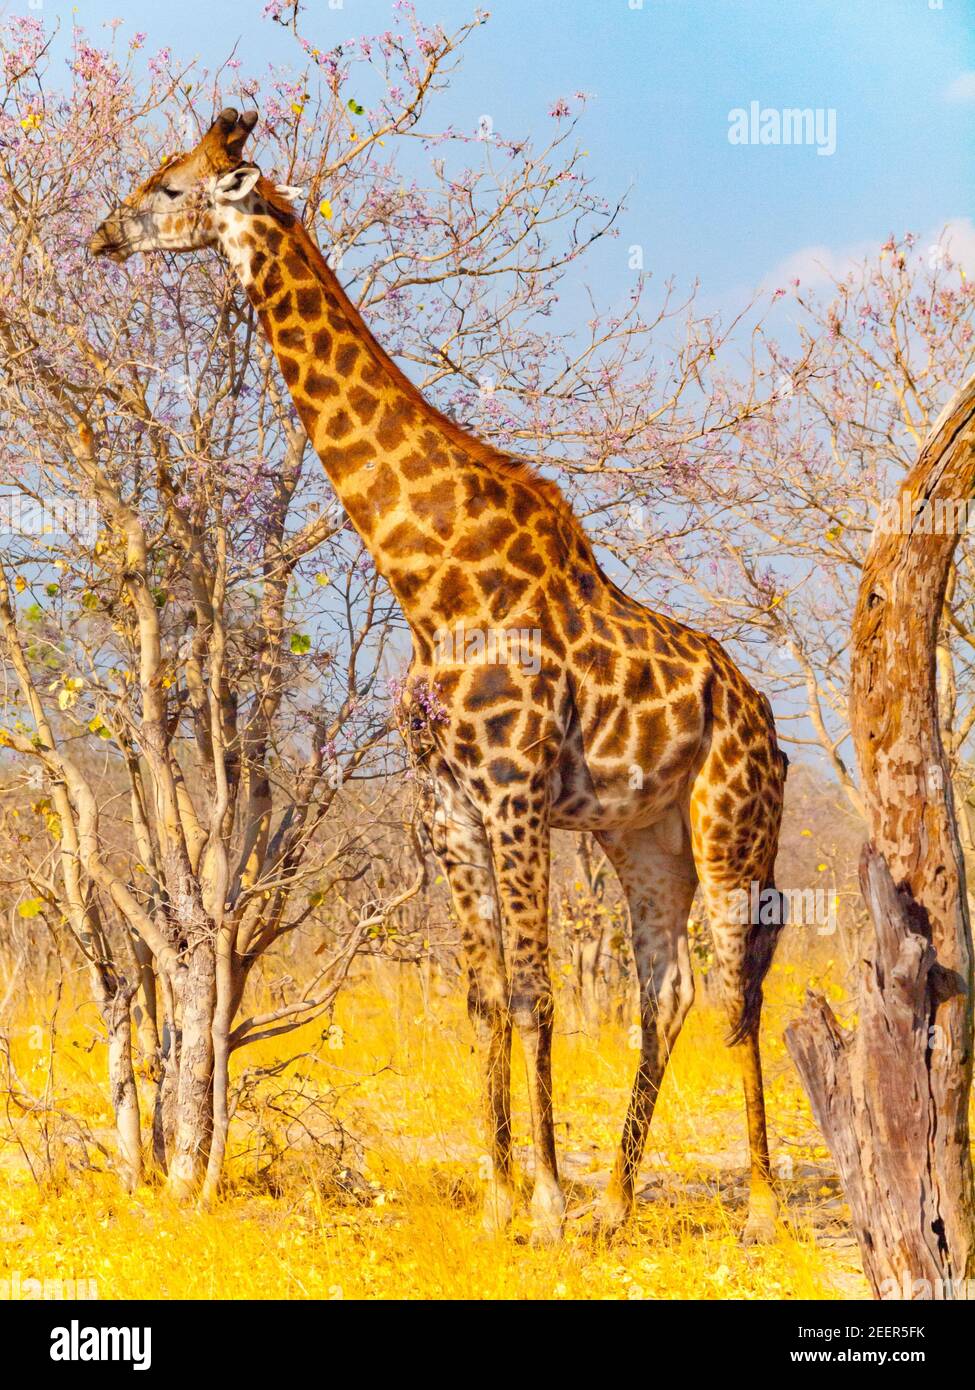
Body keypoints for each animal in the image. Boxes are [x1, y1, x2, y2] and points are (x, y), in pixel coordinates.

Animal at [91, 105, 790, 1239]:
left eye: (168, 185)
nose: (104, 235)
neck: (432, 574)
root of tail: (765, 715)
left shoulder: (513, 790)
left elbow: (538, 990)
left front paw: (543, 1203)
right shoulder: (447, 800)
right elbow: (485, 994)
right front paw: (505, 1198)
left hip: (733, 822)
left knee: (737, 986)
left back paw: (760, 1207)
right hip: (645, 835)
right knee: (667, 988)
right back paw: (616, 1201)